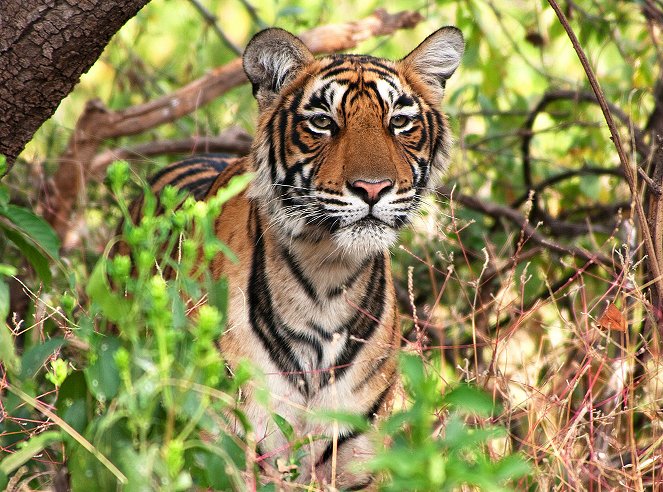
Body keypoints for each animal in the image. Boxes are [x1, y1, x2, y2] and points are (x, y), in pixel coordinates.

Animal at [128, 26, 462, 488]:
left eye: (399, 122)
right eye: (322, 122)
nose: (374, 189)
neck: (327, 278)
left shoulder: (359, 458)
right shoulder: (224, 450)